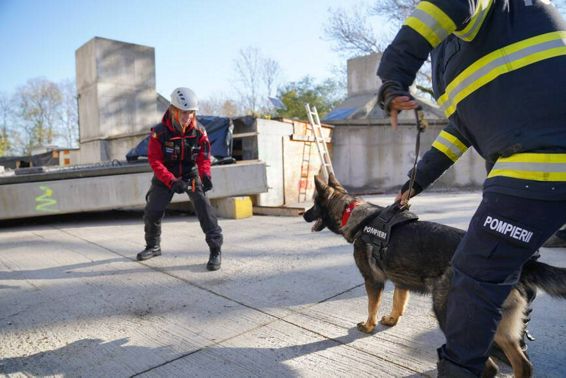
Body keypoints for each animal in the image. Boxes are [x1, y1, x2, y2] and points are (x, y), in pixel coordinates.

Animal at [306, 174, 566, 378]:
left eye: (313, 204)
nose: (303, 214)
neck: (354, 214)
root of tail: (524, 265)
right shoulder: (401, 281)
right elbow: (398, 302)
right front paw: (391, 320)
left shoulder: (373, 282)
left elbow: (372, 306)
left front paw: (368, 326)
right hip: (503, 328)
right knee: (523, 365)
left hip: (449, 313)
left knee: (488, 366)